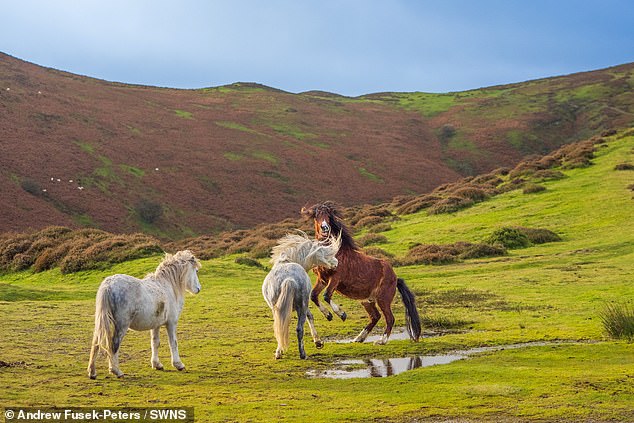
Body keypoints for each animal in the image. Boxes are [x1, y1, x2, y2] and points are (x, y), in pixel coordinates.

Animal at [87, 250, 200, 380]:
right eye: (196, 271)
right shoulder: (171, 323)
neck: (167, 286)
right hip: (121, 326)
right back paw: (116, 371)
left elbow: (155, 343)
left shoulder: (156, 325)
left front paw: (157, 364)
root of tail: (108, 285)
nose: (198, 289)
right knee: (114, 344)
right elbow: (173, 343)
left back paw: (92, 372)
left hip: (102, 322)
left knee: (96, 343)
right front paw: (179, 364)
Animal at [302, 202, 420, 344]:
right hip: (367, 301)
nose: (325, 228)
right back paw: (358, 338)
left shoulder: (335, 278)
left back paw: (381, 341)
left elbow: (326, 296)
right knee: (375, 317)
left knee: (390, 318)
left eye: (329, 216)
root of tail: (396, 278)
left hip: (383, 299)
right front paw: (329, 315)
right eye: (317, 216)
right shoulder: (322, 279)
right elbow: (314, 296)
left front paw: (342, 314)